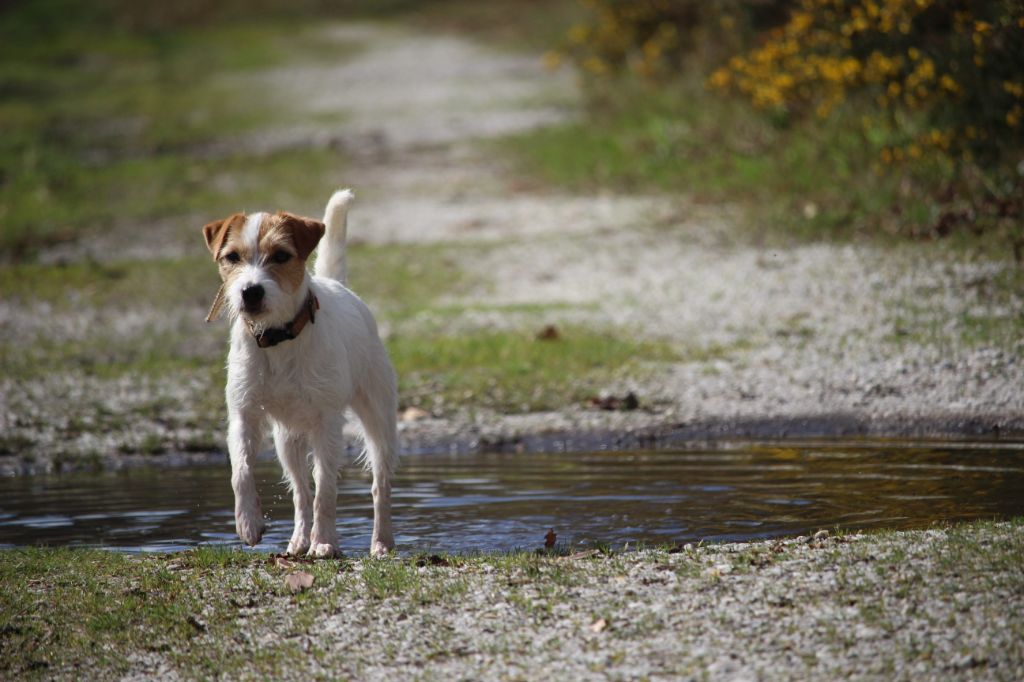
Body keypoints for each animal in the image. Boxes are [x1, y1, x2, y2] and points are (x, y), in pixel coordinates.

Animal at [201, 188, 397, 557]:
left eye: (280, 255)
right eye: (232, 257)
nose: (250, 291)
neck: (278, 338)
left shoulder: (327, 424)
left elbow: (326, 490)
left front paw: (325, 541)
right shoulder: (243, 414)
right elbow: (241, 471)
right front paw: (248, 523)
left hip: (379, 423)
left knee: (379, 486)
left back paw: (381, 542)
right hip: (286, 440)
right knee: (300, 492)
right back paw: (299, 540)